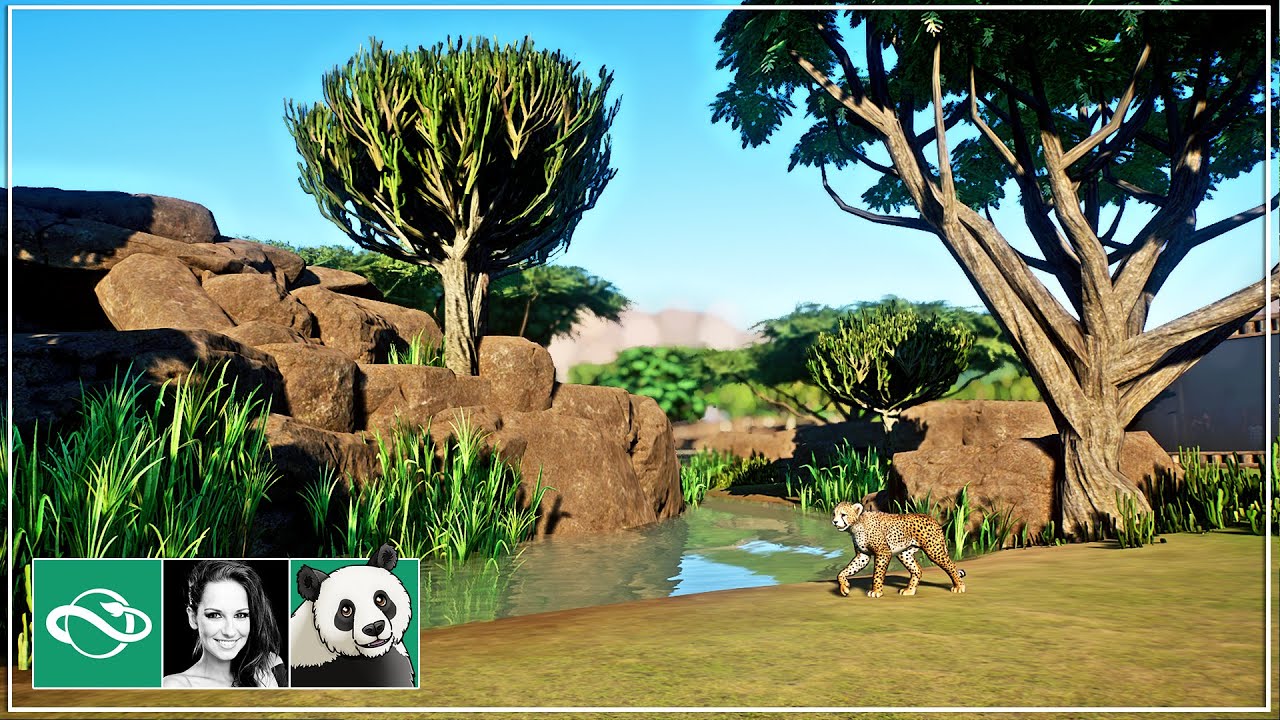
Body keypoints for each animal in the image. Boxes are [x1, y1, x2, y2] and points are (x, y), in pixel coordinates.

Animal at [831, 501, 966, 598]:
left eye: (843, 514)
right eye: (834, 514)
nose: (834, 522)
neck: (856, 525)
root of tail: (933, 519)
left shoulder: (883, 552)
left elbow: (877, 574)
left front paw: (876, 591)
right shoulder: (863, 556)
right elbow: (843, 572)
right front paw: (844, 587)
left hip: (934, 551)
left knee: (951, 565)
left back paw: (959, 586)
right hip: (905, 554)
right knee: (917, 570)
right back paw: (909, 591)